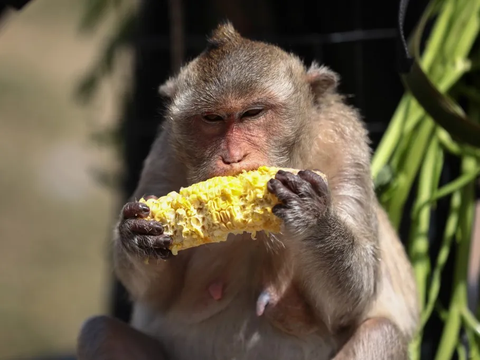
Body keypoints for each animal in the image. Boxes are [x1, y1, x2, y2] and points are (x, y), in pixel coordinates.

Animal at [77, 22, 418, 360]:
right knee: (100, 332)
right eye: (212, 118)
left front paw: (313, 217)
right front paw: (136, 233)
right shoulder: (165, 152)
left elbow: (351, 302)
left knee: (380, 333)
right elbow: (155, 294)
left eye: (253, 113)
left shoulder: (346, 142)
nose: (232, 156)